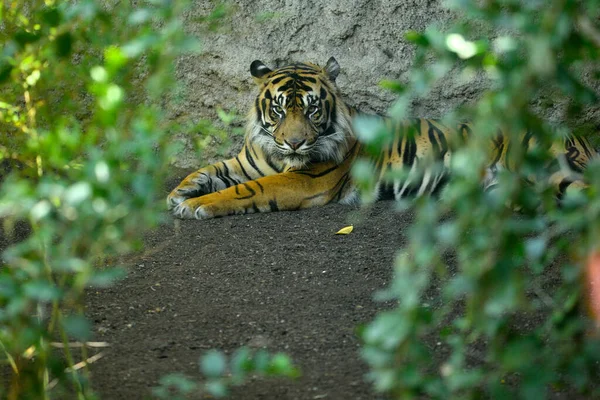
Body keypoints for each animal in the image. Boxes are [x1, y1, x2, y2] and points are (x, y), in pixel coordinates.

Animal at [165, 57, 596, 219]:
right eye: (280, 110)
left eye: (312, 110)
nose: (295, 143)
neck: (276, 152)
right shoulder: (246, 160)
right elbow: (208, 170)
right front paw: (178, 193)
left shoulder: (303, 180)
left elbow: (244, 191)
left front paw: (195, 206)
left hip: (552, 171)